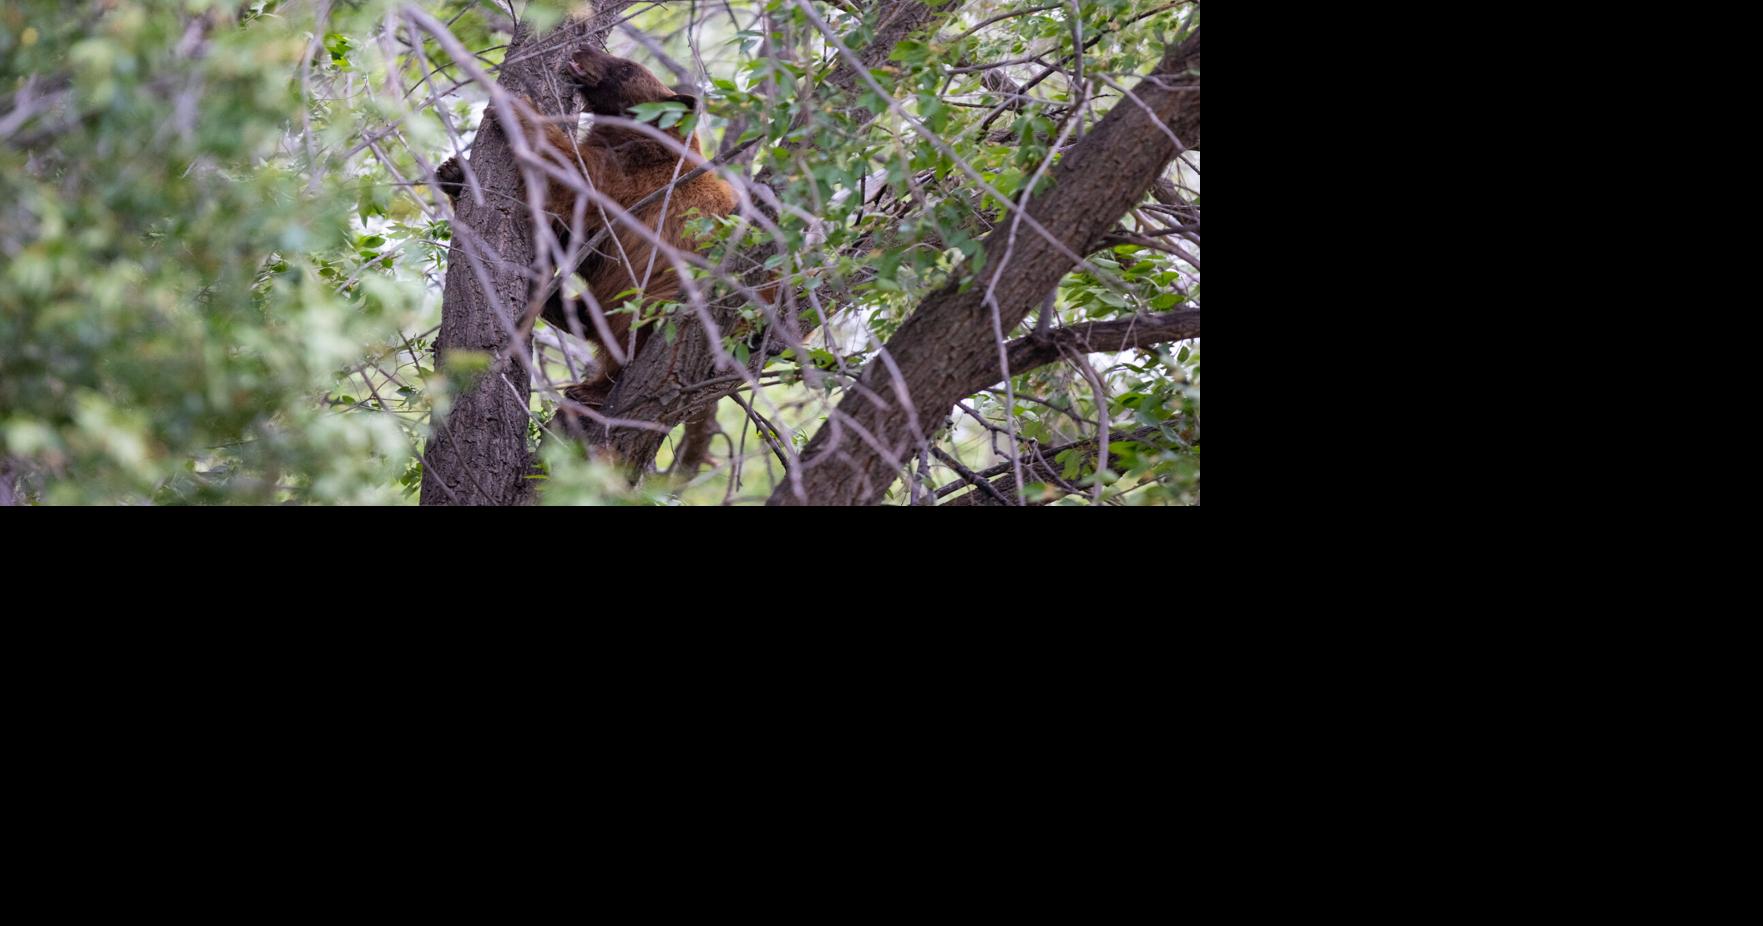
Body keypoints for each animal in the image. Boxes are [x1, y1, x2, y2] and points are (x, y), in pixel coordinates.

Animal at [435, 45, 739, 421]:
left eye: (626, 69)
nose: (584, 47)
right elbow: (567, 234)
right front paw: (453, 174)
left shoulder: (638, 182)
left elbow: (575, 177)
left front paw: (520, 108)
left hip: (663, 297)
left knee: (629, 334)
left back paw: (592, 389)